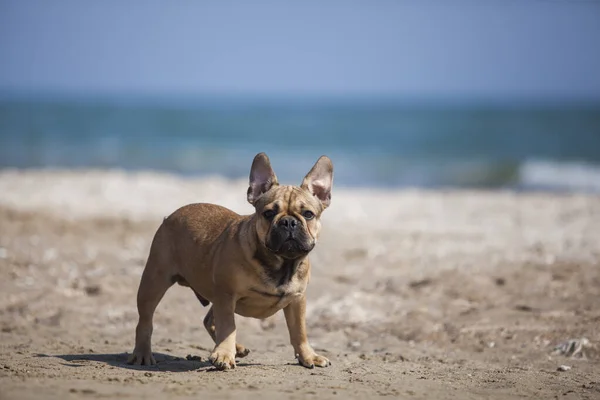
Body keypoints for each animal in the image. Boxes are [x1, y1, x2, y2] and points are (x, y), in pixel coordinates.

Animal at [127, 152, 332, 368]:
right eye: (269, 213)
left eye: (308, 214)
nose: (288, 222)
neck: (281, 263)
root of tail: (170, 217)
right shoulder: (226, 295)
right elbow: (228, 326)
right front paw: (224, 354)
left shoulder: (297, 300)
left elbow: (299, 331)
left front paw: (308, 356)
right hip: (155, 281)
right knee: (145, 320)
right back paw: (142, 353)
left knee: (209, 320)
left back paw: (238, 348)